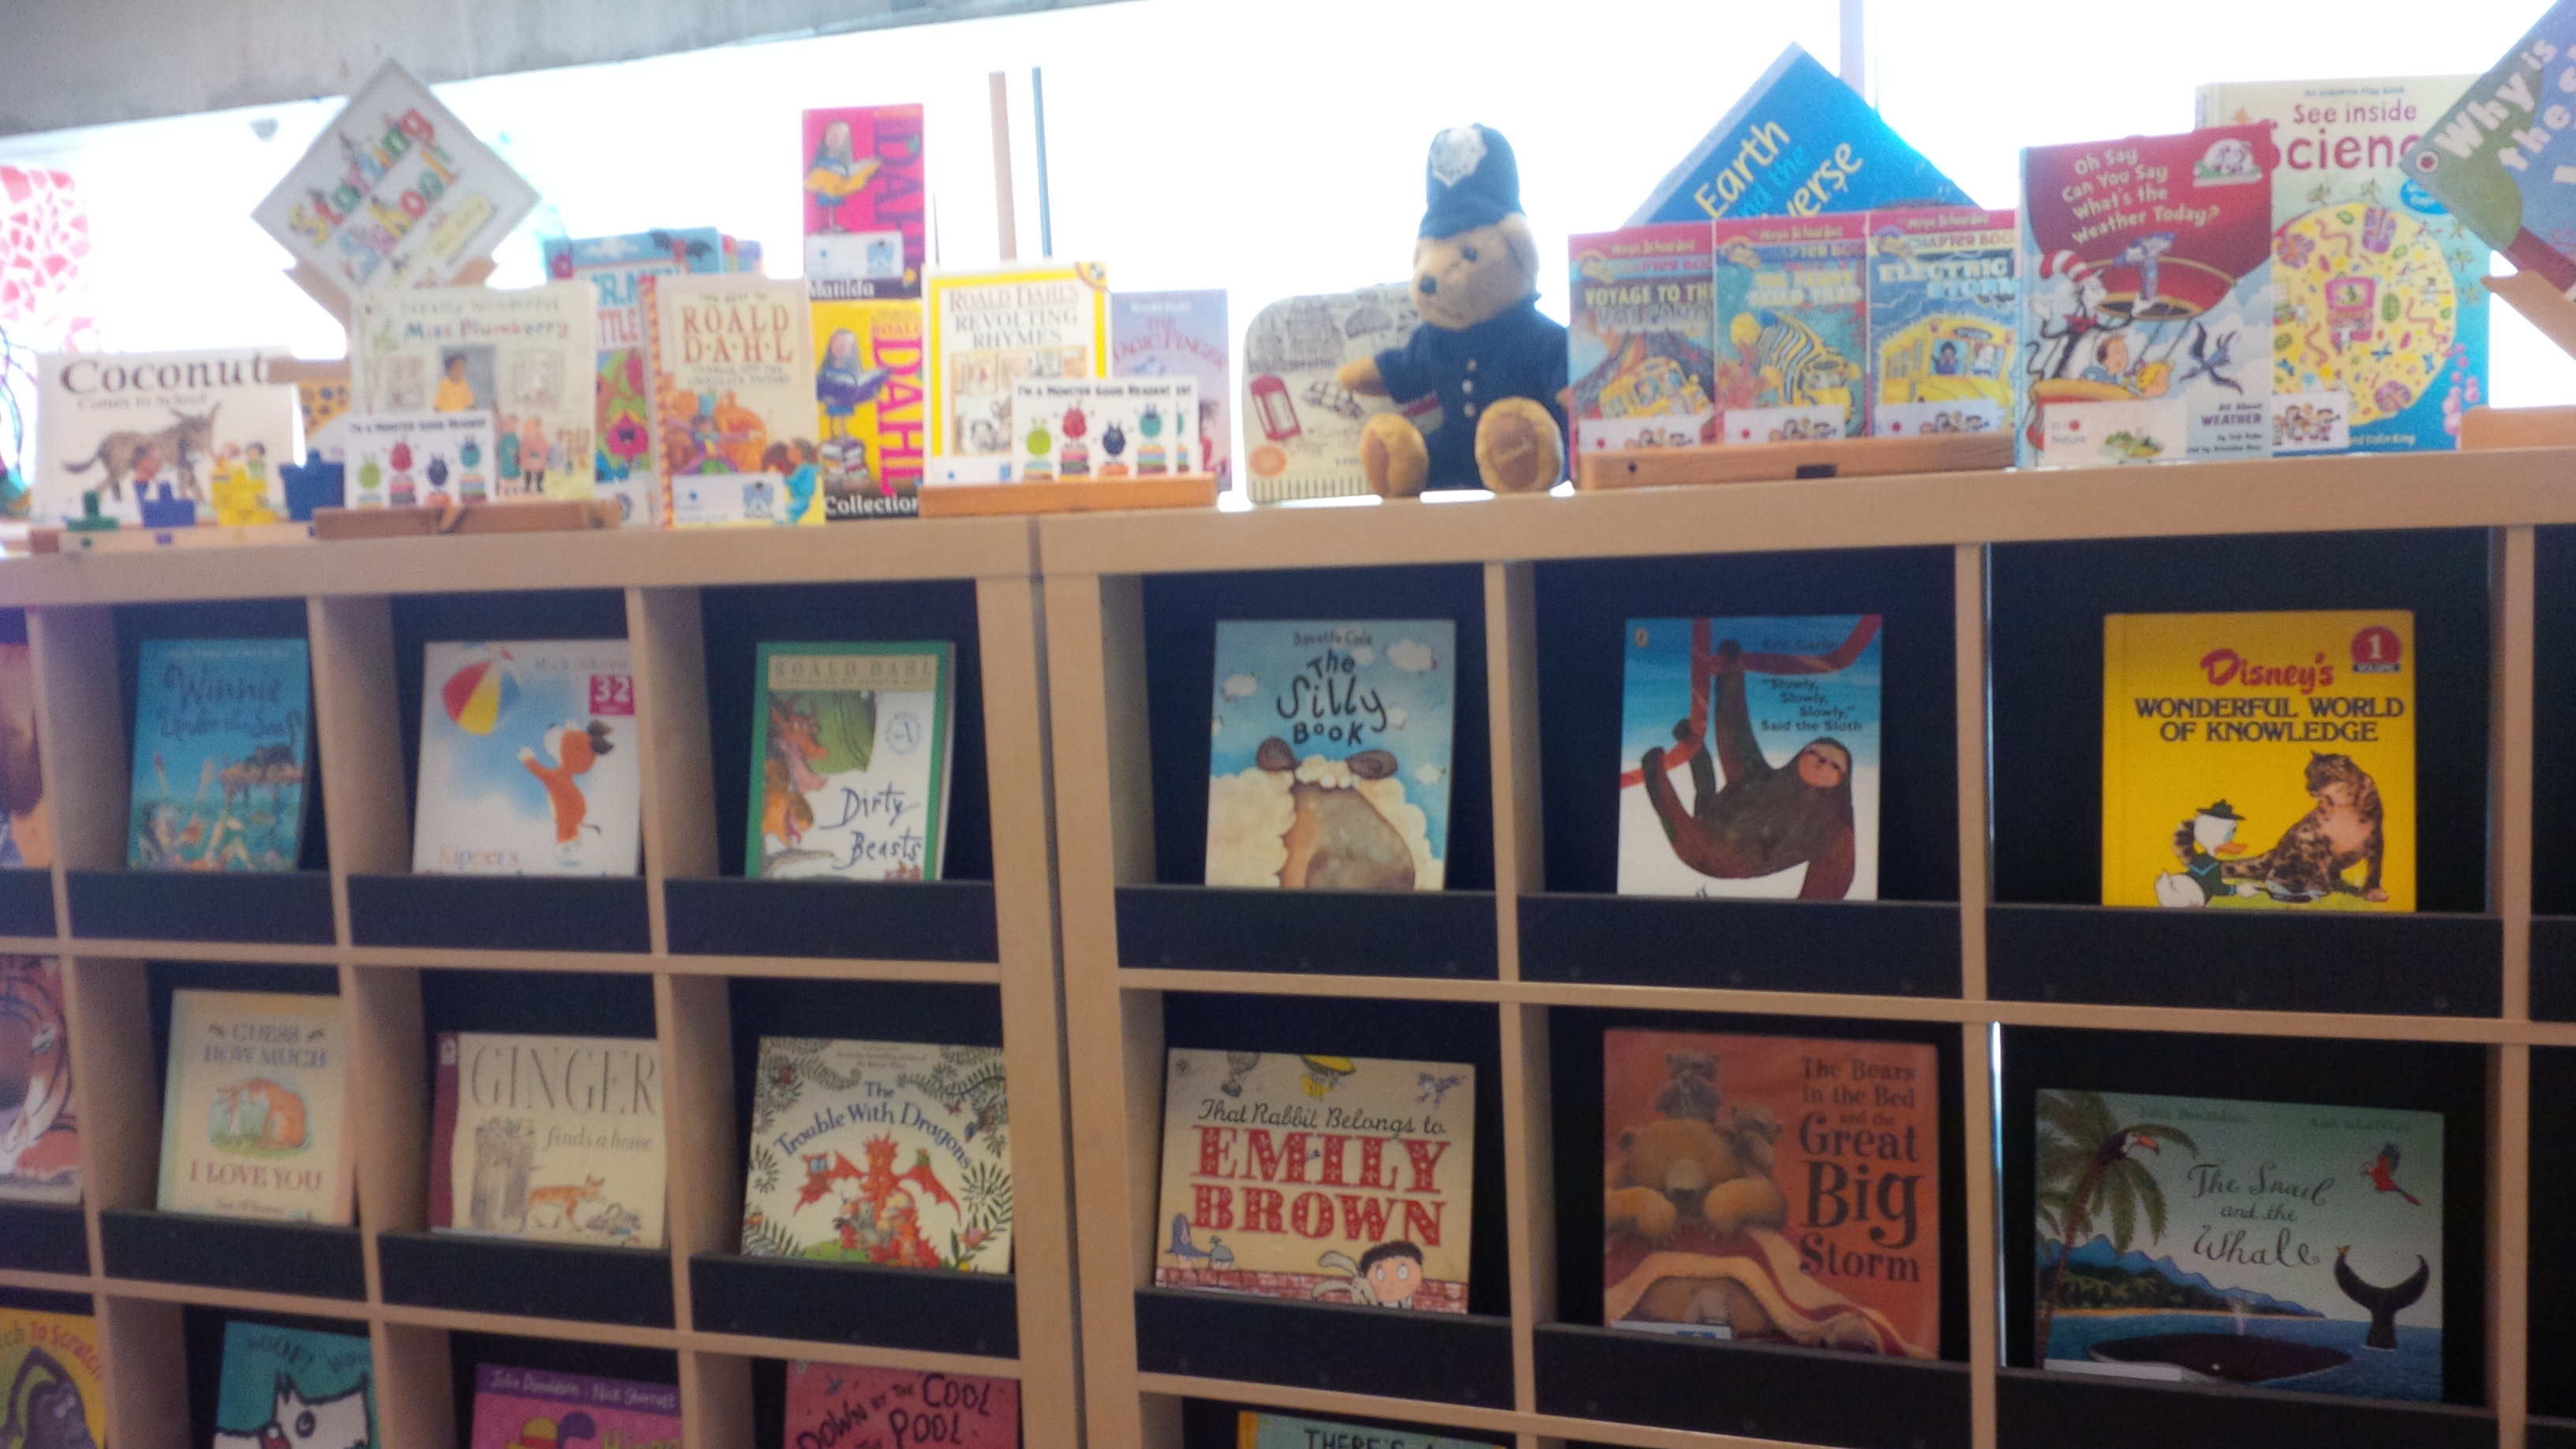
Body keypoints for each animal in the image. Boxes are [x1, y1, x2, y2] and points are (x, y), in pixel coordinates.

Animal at [2221, 751, 2388, 903]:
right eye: (2308, 773)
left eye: (2325, 775)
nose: (2310, 787)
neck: (2342, 806)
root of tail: (2277, 849)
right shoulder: (2320, 838)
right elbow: (2321, 866)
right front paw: (2322, 886)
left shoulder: (2376, 835)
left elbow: (2375, 868)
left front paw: (2373, 892)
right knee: (2274, 875)